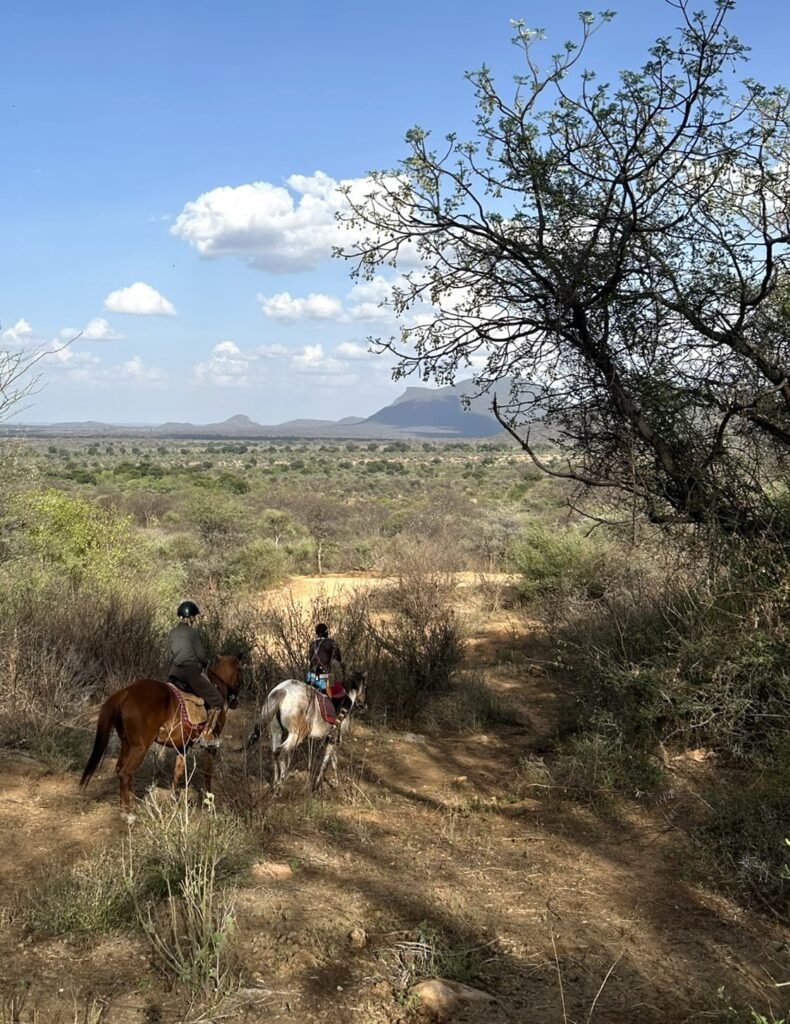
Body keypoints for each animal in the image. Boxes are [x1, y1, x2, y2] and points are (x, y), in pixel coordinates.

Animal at [80, 656, 243, 819]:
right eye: (240, 672)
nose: (235, 703)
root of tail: (126, 692)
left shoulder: (182, 746)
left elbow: (178, 771)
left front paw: (175, 800)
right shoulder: (210, 747)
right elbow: (207, 774)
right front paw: (209, 804)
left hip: (126, 743)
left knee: (119, 768)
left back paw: (128, 805)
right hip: (139, 748)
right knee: (125, 773)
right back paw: (128, 814)